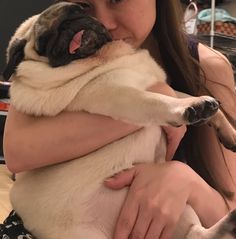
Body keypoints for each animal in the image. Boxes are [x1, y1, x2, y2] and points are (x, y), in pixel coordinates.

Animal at [3, 1, 236, 239]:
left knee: (196, 234)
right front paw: (192, 108)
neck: (104, 57)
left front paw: (225, 127)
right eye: (44, 40)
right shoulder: (120, 96)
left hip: (180, 208)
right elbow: (157, 102)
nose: (68, 27)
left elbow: (189, 97)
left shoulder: (154, 84)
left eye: (79, 10)